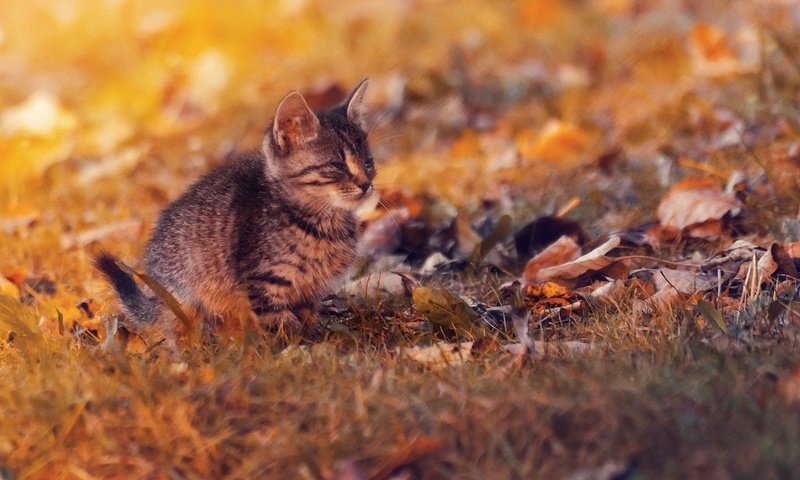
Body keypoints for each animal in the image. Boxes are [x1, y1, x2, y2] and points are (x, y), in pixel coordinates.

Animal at [95, 78, 376, 348]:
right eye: (338, 165)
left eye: (368, 163)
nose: (366, 184)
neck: (321, 220)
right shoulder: (261, 282)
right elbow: (279, 323)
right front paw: (292, 351)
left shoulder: (307, 290)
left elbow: (305, 317)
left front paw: (309, 341)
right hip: (186, 297)